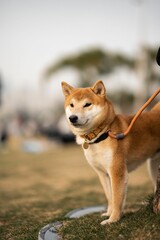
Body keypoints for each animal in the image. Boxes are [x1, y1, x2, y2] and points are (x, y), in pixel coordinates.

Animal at [61, 79, 160, 224]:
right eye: (72, 105)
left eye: (87, 104)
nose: (72, 117)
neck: (101, 134)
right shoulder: (103, 174)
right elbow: (110, 197)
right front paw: (109, 213)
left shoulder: (117, 172)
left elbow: (117, 198)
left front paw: (113, 220)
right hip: (153, 166)